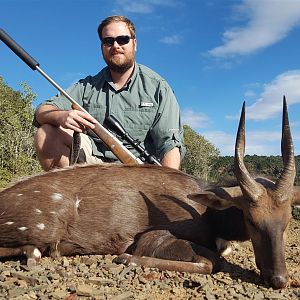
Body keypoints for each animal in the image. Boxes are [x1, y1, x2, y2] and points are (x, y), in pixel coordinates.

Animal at [0, 99, 298, 288]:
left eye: (286, 223)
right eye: (251, 220)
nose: (279, 280)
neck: (207, 213)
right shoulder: (152, 237)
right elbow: (210, 262)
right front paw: (126, 257)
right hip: (46, 227)